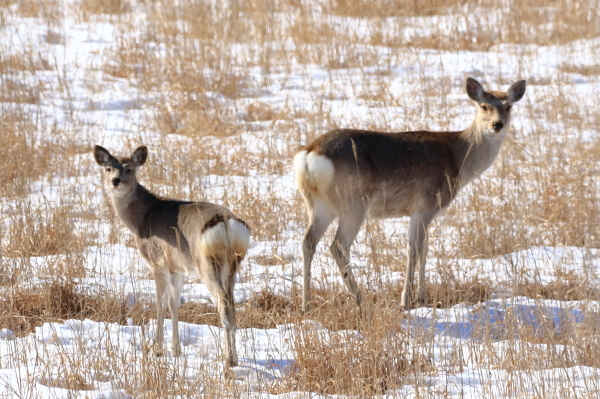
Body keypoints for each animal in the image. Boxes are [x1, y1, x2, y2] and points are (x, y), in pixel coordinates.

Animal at [92, 145, 251, 372]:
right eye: (108, 168)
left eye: (129, 169)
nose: (115, 180)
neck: (141, 220)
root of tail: (226, 222)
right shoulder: (177, 268)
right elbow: (174, 303)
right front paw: (176, 350)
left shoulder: (157, 261)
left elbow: (159, 302)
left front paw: (157, 350)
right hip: (233, 263)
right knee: (232, 303)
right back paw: (234, 358)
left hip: (207, 263)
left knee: (224, 302)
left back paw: (228, 361)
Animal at [294, 76, 524, 312]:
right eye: (484, 105)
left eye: (508, 106)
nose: (497, 125)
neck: (458, 161)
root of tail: (309, 154)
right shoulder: (425, 204)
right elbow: (415, 248)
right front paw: (408, 300)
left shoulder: (421, 210)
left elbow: (423, 248)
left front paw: (420, 297)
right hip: (353, 203)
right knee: (338, 245)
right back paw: (360, 300)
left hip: (319, 204)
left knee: (308, 241)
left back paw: (306, 304)